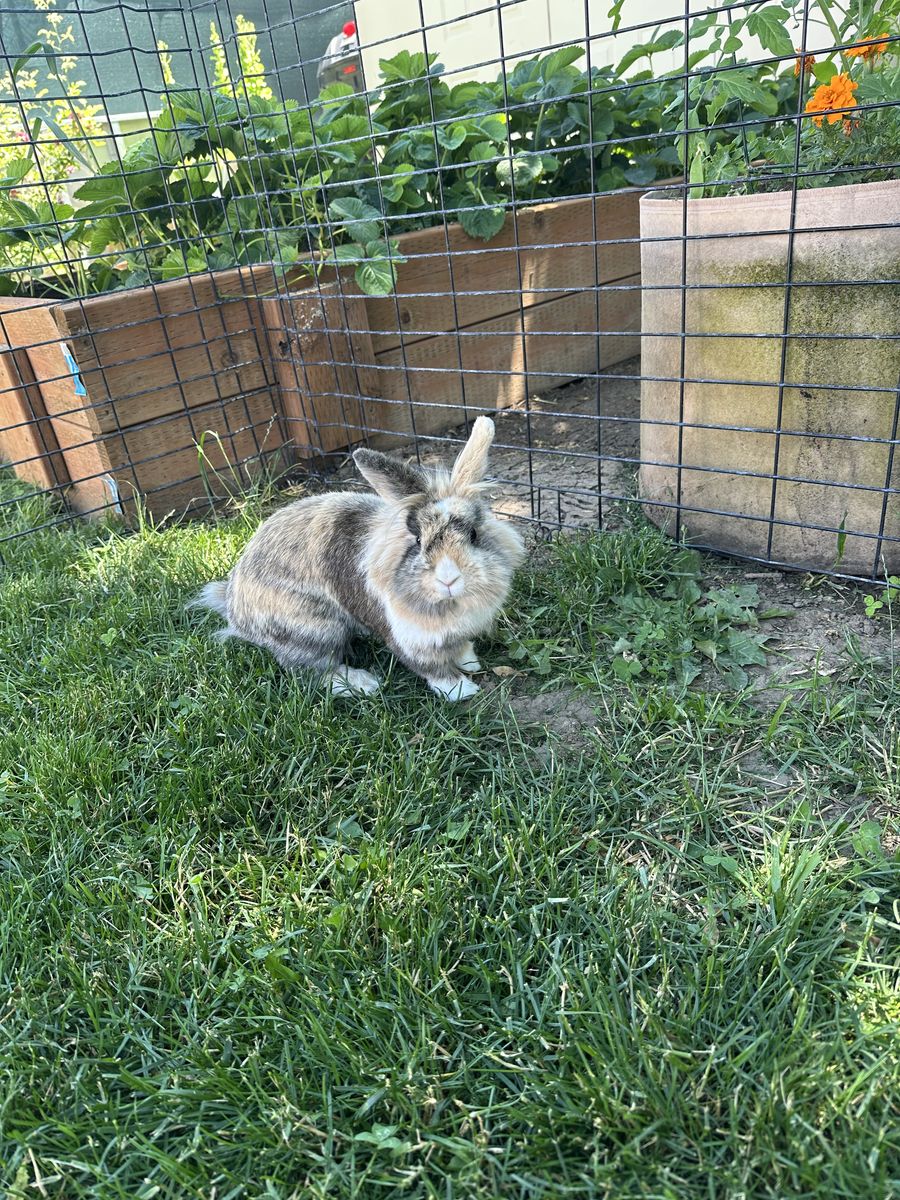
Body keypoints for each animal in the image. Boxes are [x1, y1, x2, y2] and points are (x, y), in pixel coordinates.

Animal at [191, 416, 525, 700]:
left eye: (473, 535)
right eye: (418, 541)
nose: (449, 579)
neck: (450, 604)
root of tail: (235, 610)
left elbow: (460, 648)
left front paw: (470, 662)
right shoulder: (409, 640)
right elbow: (432, 669)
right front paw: (461, 690)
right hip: (313, 630)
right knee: (310, 670)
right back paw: (364, 683)